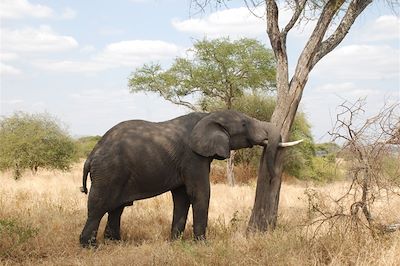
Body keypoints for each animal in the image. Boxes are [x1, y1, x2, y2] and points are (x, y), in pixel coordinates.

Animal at [79, 110, 302, 247]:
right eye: (244, 123)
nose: (272, 176)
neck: (209, 115)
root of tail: (91, 155)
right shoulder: (193, 156)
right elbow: (200, 193)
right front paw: (203, 244)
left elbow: (181, 198)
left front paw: (175, 243)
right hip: (108, 172)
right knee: (98, 206)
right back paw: (90, 247)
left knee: (117, 208)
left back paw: (115, 243)